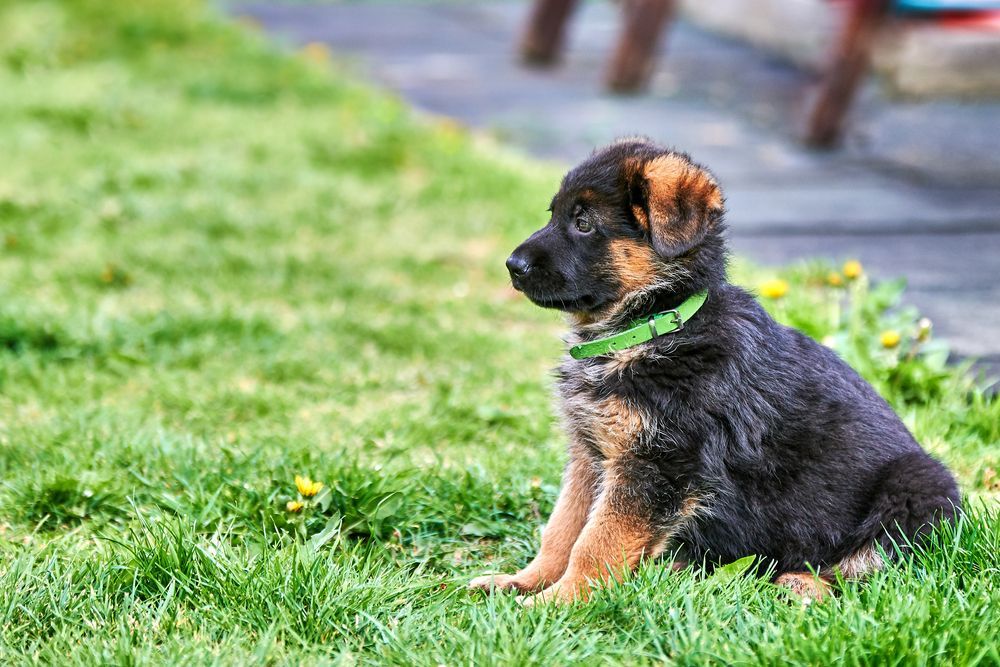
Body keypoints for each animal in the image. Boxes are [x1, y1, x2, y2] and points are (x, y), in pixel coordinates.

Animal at [468, 138, 960, 604]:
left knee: (872, 570)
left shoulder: (657, 464)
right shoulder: (592, 455)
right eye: (554, 215)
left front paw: (560, 602)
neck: (653, 326)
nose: (512, 266)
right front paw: (524, 582)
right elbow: (564, 528)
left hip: (918, 492)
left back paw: (801, 585)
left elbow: (597, 541)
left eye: (584, 223)